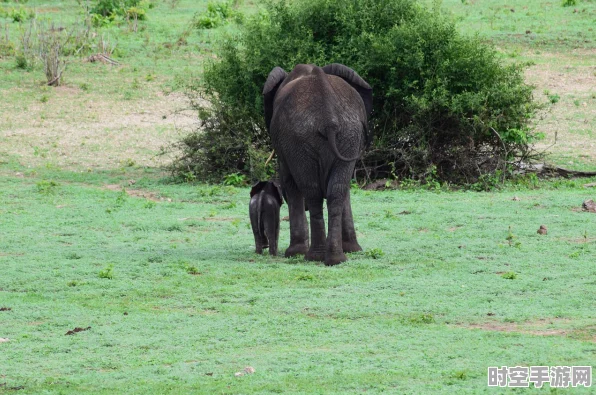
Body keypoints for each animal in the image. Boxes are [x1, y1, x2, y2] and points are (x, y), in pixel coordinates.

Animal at [262, 64, 370, 266]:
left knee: (311, 192)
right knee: (336, 191)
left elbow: (289, 183)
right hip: (347, 135)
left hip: (299, 140)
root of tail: (329, 118)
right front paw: (352, 250)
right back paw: (335, 259)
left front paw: (293, 253)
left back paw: (314, 256)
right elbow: (344, 188)